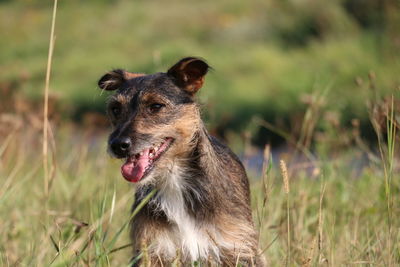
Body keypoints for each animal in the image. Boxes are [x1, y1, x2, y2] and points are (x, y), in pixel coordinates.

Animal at [98, 57, 264, 266]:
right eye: (115, 109)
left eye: (156, 106)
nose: (117, 145)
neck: (174, 180)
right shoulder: (152, 251)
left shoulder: (238, 249)